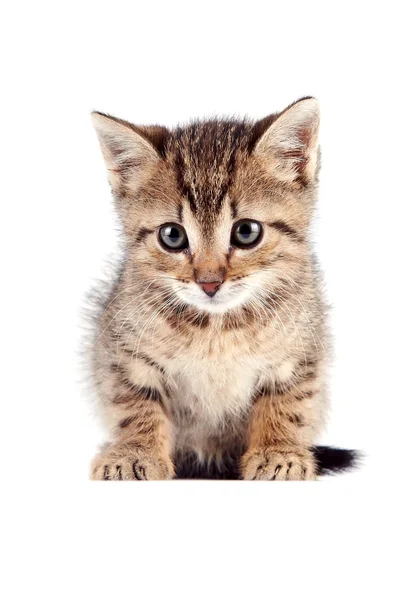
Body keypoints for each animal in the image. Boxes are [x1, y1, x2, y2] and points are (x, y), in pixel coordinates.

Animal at [88, 99, 356, 482]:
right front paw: (133, 451)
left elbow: (286, 404)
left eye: (246, 232)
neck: (217, 328)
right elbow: (134, 404)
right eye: (172, 235)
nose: (209, 282)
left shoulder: (299, 354)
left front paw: (279, 452)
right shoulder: (123, 354)